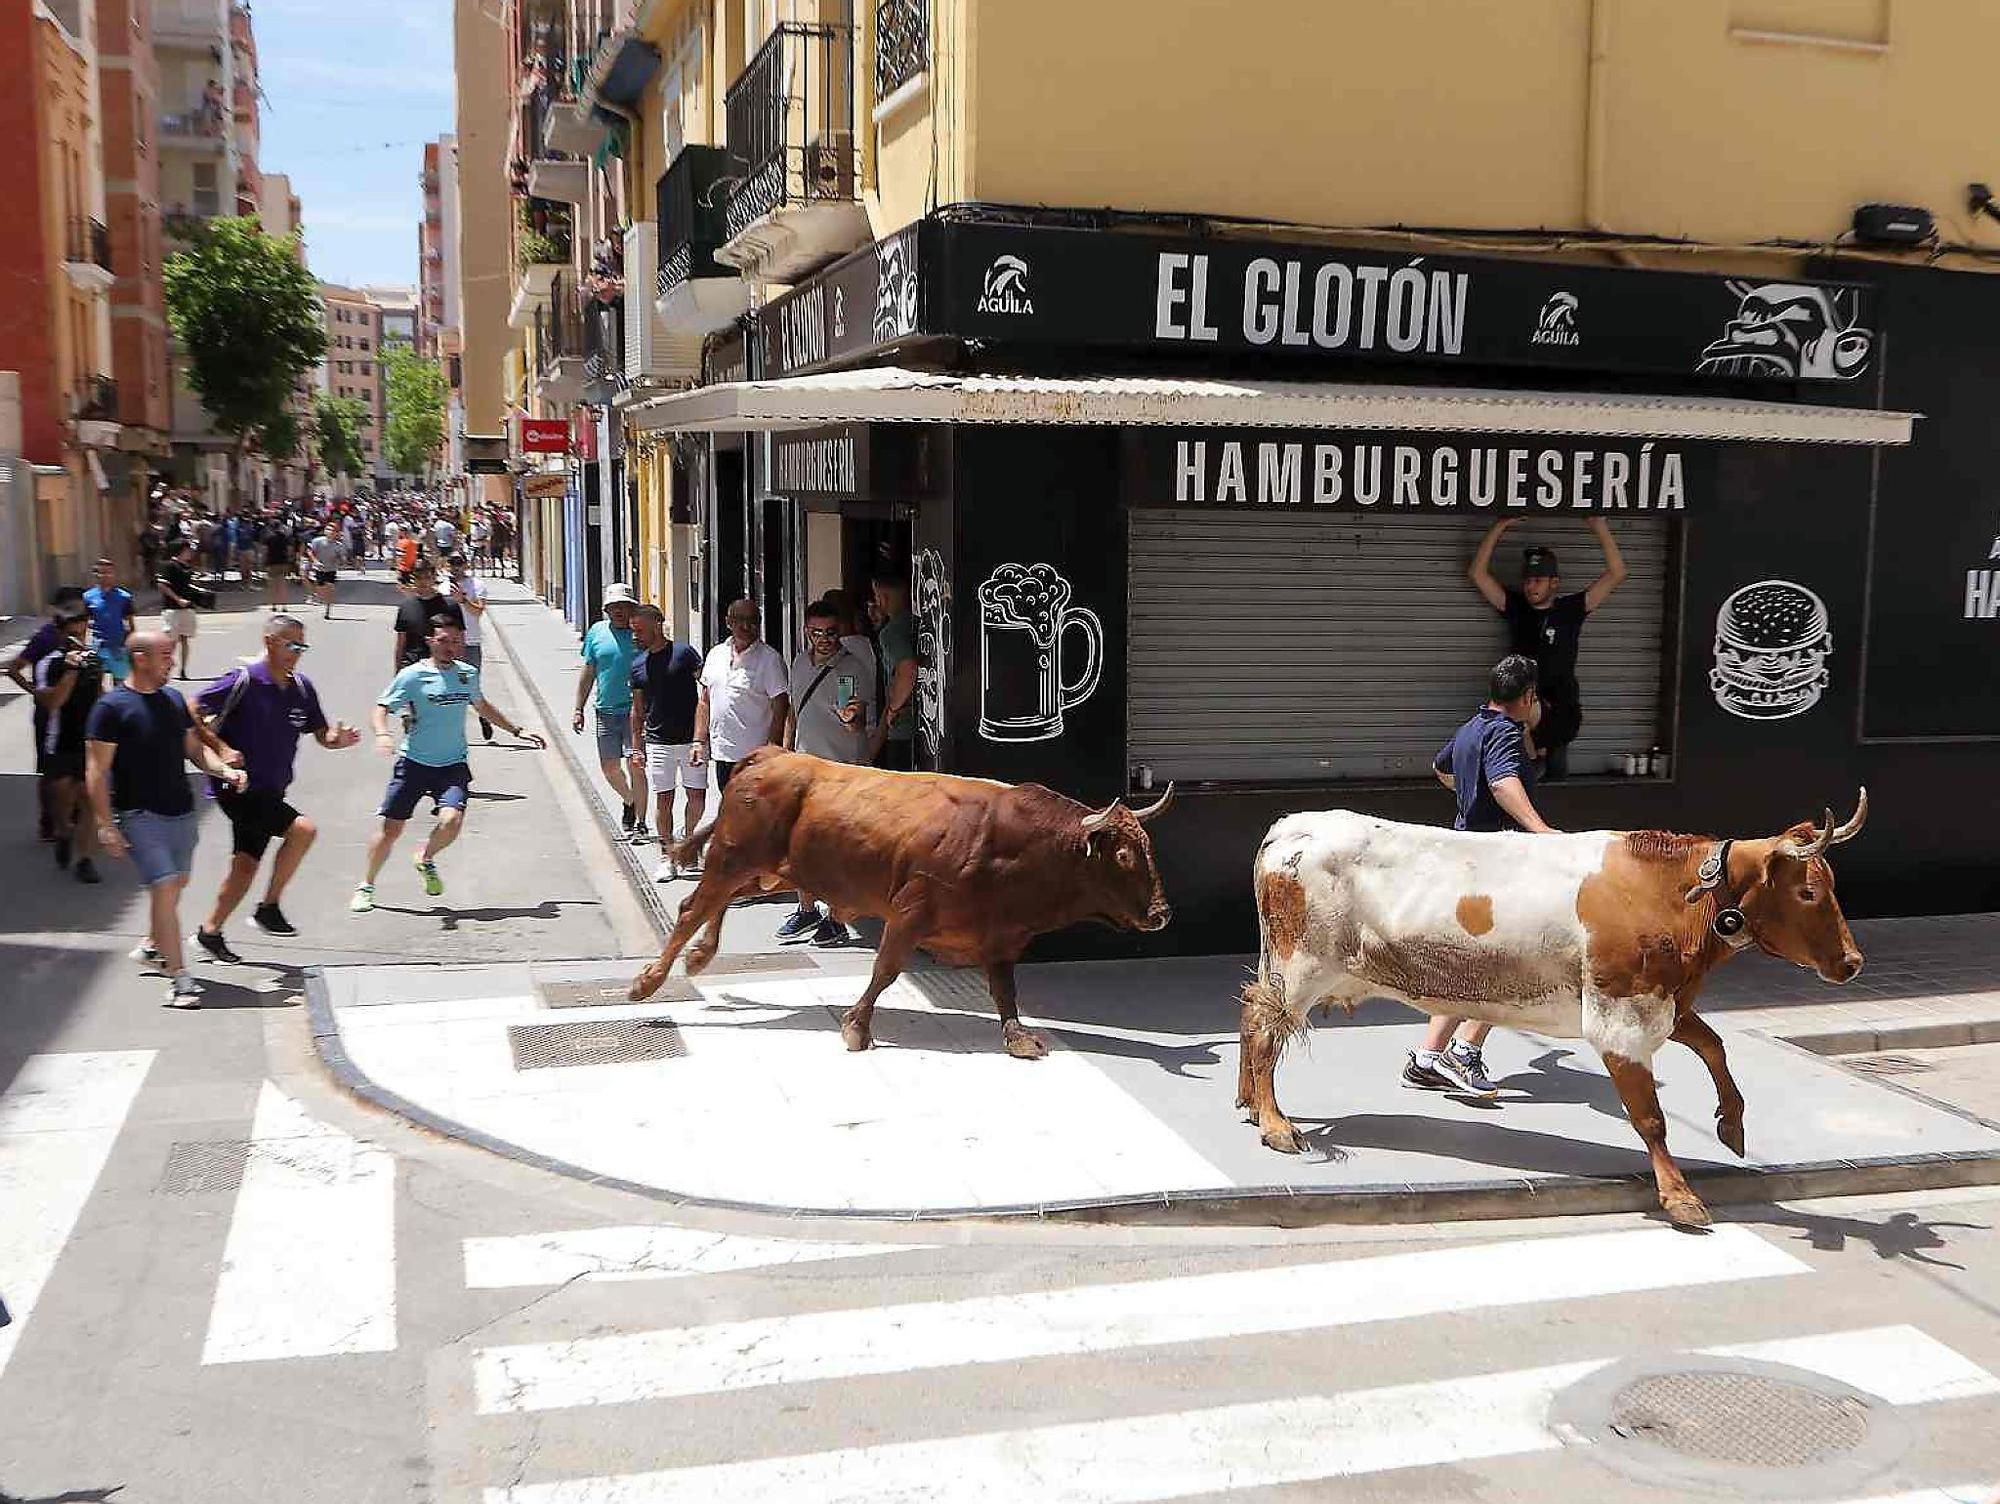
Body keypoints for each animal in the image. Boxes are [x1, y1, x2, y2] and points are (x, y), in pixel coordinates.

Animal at [628, 752, 1168, 1056]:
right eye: (1123, 854)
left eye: (1149, 848)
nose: (1162, 914)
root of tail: (771, 754)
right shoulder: (909, 913)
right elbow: (885, 971)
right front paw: (856, 1027)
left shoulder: (998, 936)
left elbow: (1004, 989)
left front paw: (1017, 1036)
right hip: (732, 857)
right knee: (693, 908)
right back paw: (647, 982)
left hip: (771, 871)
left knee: (717, 903)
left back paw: (701, 956)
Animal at [1240, 792, 1864, 1224]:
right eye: (1808, 891)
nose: (1853, 962)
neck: (1670, 897)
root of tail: (1291, 827)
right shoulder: (1619, 1019)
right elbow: (1651, 1118)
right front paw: (1680, 1196)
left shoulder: (1660, 1003)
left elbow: (1715, 1045)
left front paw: (1731, 1124)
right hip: (1300, 968)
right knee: (1266, 1029)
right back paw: (1275, 1124)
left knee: (1252, 1017)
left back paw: (1248, 1103)